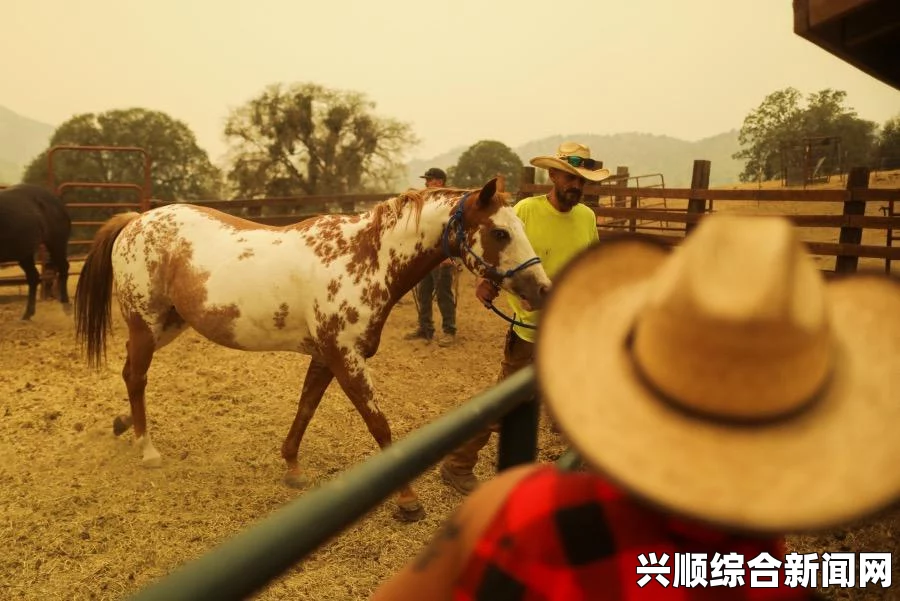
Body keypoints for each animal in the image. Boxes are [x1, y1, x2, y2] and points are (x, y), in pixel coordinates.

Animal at [0, 185, 71, 322]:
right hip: (25, 253)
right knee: (33, 277)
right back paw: (27, 314)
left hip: (56, 244)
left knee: (64, 268)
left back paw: (65, 305)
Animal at [74, 176, 548, 516]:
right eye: (501, 233)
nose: (541, 288)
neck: (363, 258)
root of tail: (133, 221)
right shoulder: (345, 357)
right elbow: (380, 426)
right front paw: (408, 501)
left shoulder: (325, 357)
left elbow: (305, 408)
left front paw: (292, 467)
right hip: (146, 323)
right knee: (137, 377)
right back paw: (148, 449)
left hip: (168, 325)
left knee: (129, 374)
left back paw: (125, 426)